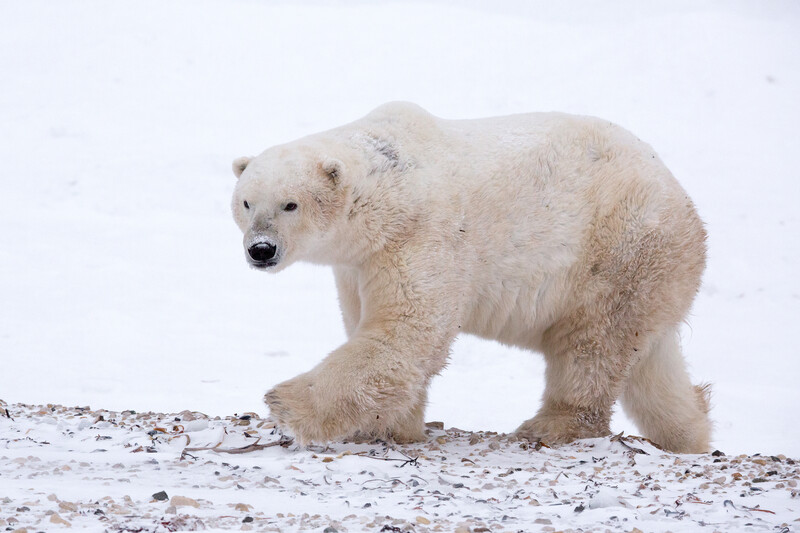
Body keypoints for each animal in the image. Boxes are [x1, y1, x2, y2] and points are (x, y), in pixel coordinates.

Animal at [231, 102, 711, 453]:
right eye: (247, 202)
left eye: (291, 204)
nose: (261, 250)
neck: (387, 192)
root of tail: (685, 204)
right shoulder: (357, 263)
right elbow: (366, 323)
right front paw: (391, 425)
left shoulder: (423, 236)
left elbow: (407, 333)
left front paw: (286, 404)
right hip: (650, 274)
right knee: (650, 363)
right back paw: (691, 433)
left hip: (616, 250)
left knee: (591, 346)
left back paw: (549, 426)